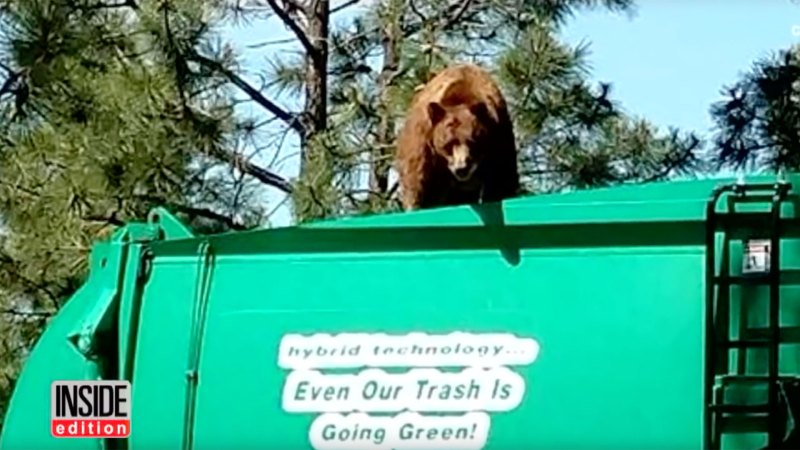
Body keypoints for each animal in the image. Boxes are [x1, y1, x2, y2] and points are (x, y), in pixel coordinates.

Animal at [392, 62, 520, 212]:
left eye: (473, 141)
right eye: (448, 144)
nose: (462, 168)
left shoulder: (499, 136)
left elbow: (502, 179)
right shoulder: (424, 140)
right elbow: (417, 180)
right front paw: (415, 204)